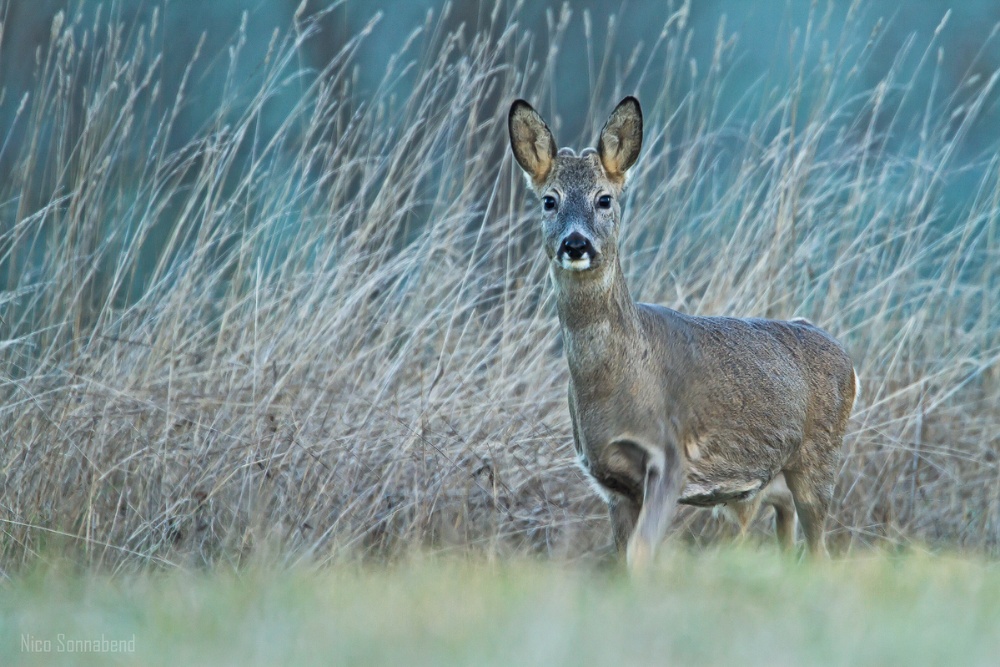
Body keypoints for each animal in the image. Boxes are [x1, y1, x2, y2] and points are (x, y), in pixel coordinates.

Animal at [508, 98, 860, 568]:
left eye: (604, 199)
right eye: (550, 200)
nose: (576, 244)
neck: (616, 384)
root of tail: (847, 359)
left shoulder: (670, 460)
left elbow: (641, 551)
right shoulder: (611, 482)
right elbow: (623, 556)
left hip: (819, 459)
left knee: (820, 548)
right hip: (780, 482)